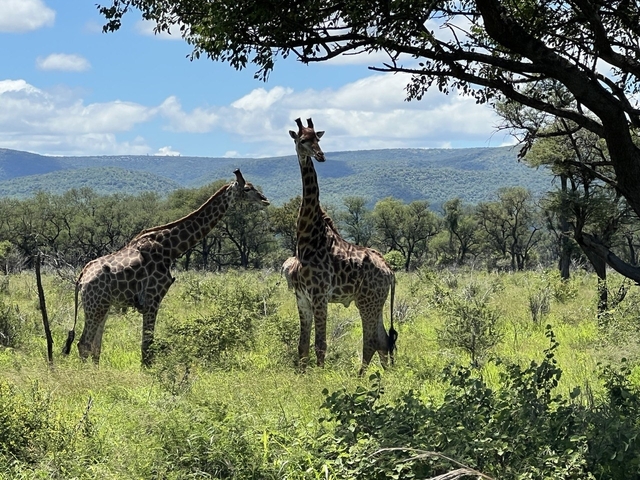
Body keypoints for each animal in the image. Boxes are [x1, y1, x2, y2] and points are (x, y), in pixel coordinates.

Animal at [62, 169, 270, 366]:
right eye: (247, 189)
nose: (265, 200)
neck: (170, 248)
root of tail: (80, 279)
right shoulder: (153, 298)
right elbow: (147, 345)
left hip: (103, 305)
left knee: (95, 345)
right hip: (96, 305)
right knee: (84, 343)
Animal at [287, 118, 397, 376]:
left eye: (317, 139)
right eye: (302, 140)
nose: (320, 155)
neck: (306, 240)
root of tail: (390, 272)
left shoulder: (319, 295)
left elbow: (320, 344)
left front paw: (318, 377)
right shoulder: (301, 297)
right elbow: (302, 346)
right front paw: (303, 377)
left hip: (367, 300)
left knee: (372, 341)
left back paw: (360, 378)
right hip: (375, 301)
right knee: (383, 340)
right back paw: (387, 376)